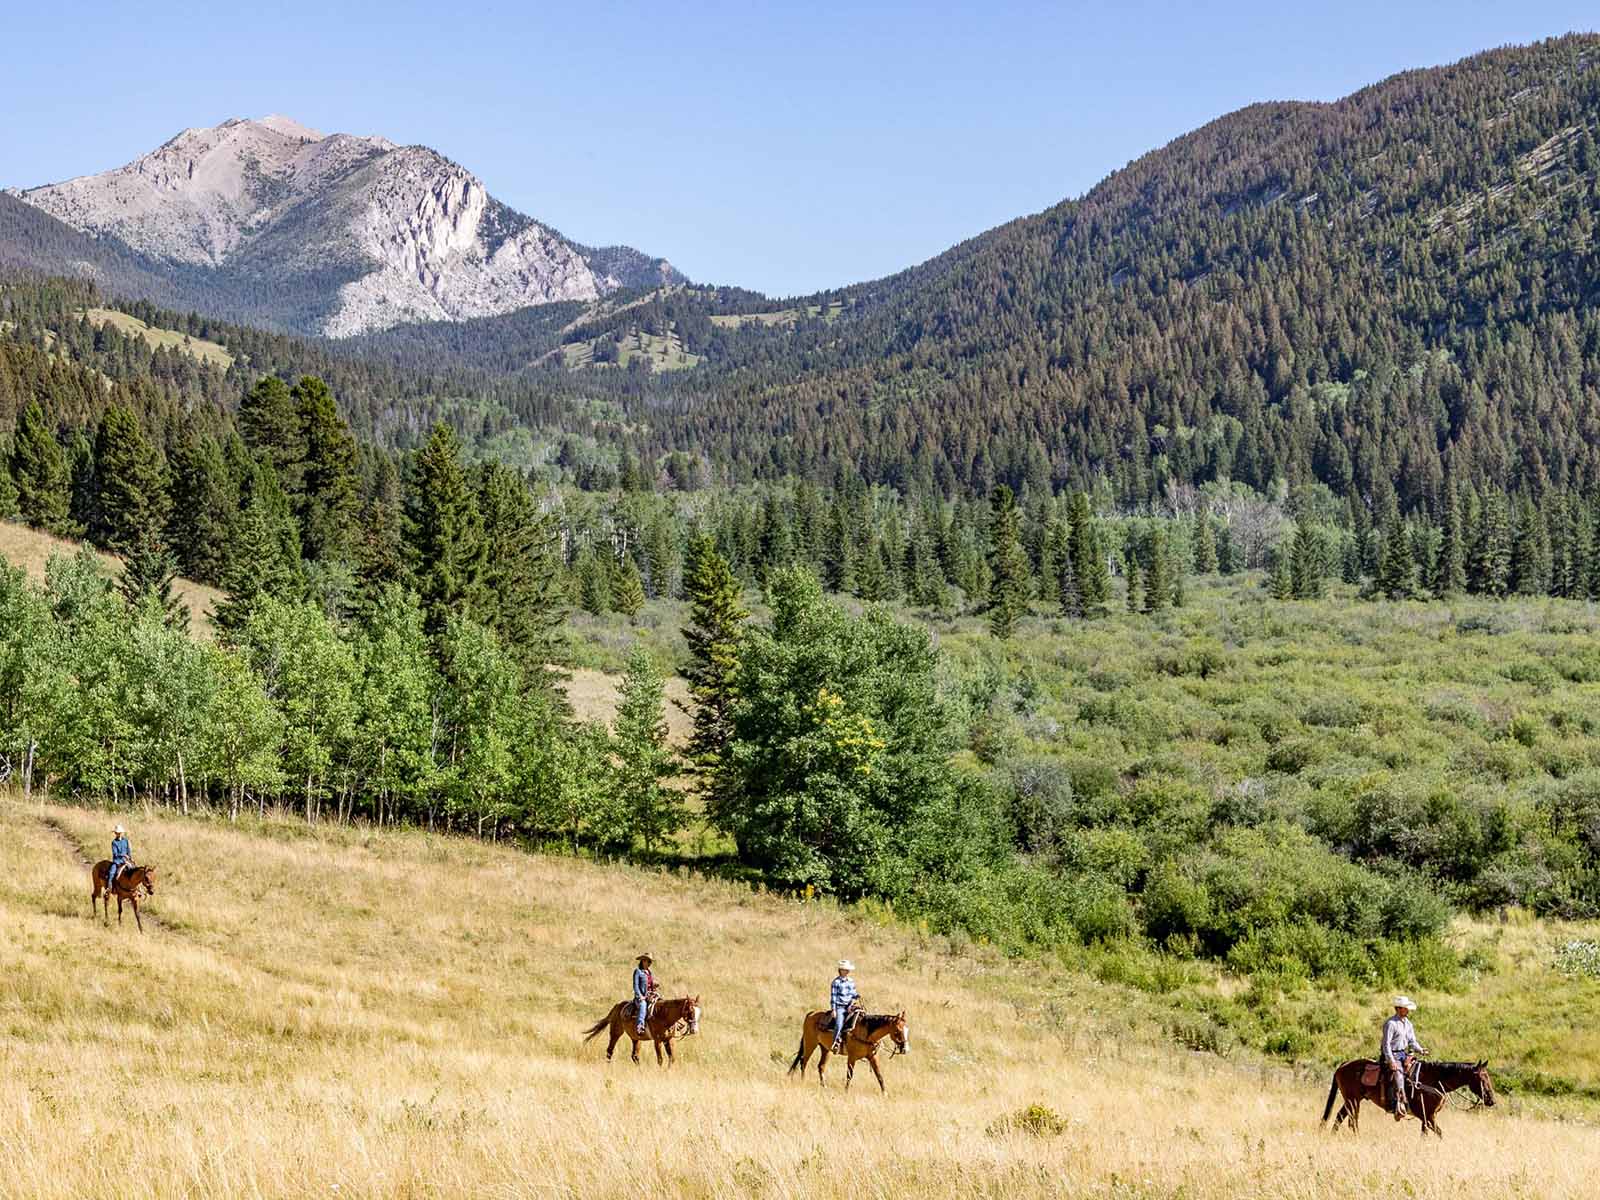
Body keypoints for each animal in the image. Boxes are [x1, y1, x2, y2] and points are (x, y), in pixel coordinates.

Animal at [1318, 1062, 1491, 1139]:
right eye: (1482, 1079)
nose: (1492, 1100)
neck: (1433, 1080)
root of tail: (1342, 1066)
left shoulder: (1426, 1118)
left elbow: (1424, 1135)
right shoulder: (1429, 1117)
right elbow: (1440, 1133)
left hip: (1351, 1100)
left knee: (1340, 1117)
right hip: (1353, 1101)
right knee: (1352, 1121)